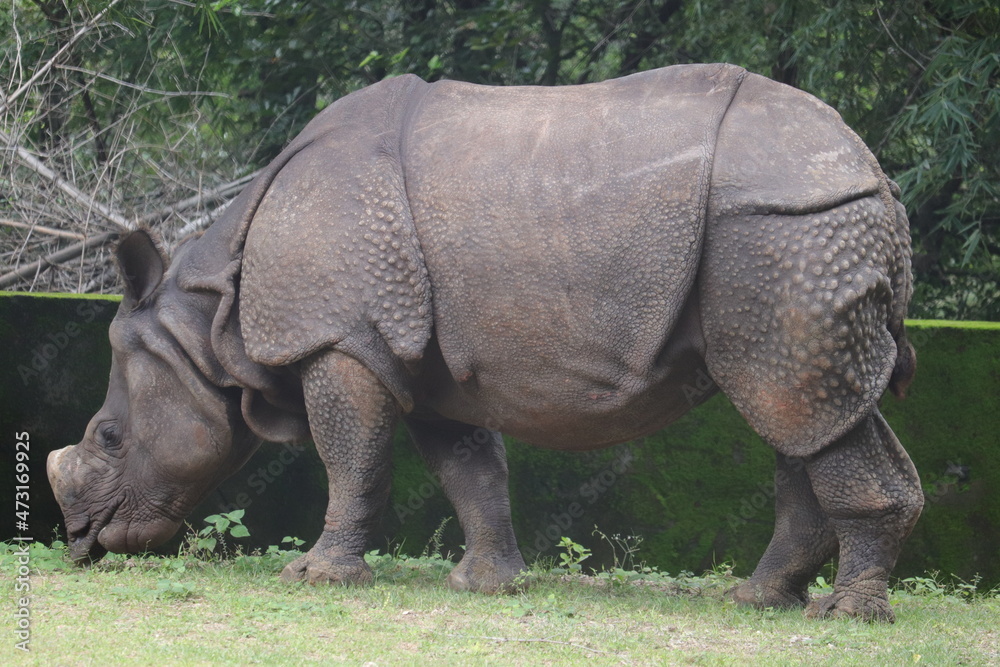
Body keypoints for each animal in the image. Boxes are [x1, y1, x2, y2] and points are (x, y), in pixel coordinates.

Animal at [47, 64, 922, 622]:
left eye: (109, 435)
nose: (81, 542)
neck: (210, 317)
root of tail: (873, 174)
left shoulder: (341, 339)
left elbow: (350, 457)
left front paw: (317, 577)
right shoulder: (426, 362)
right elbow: (467, 468)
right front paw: (485, 585)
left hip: (781, 229)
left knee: (795, 403)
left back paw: (845, 616)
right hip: (792, 234)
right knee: (812, 411)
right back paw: (762, 601)